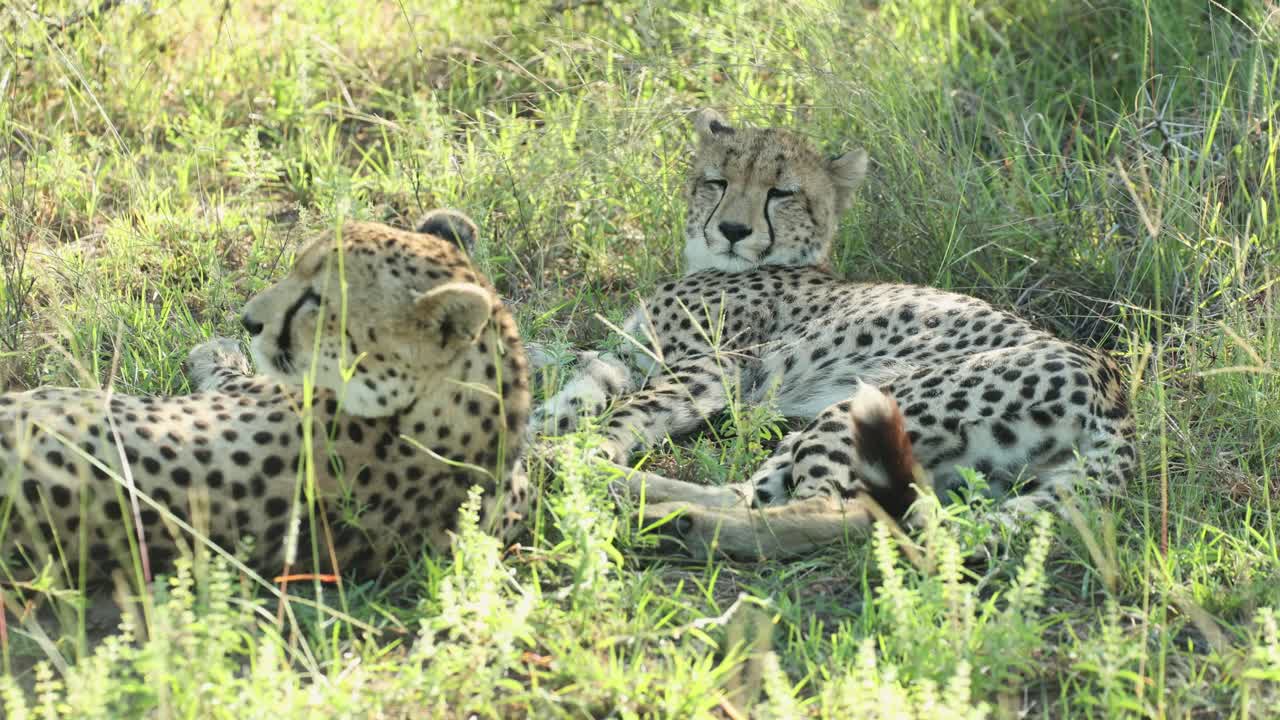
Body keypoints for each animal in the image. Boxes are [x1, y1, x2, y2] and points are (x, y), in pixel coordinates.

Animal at [531, 110, 1136, 560]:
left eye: (781, 193)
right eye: (718, 182)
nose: (732, 230)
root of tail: (1114, 388)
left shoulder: (708, 369)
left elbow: (628, 411)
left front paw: (577, 449)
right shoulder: (626, 354)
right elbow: (570, 382)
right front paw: (540, 434)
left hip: (869, 405)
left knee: (850, 513)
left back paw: (668, 515)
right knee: (751, 493)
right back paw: (652, 501)